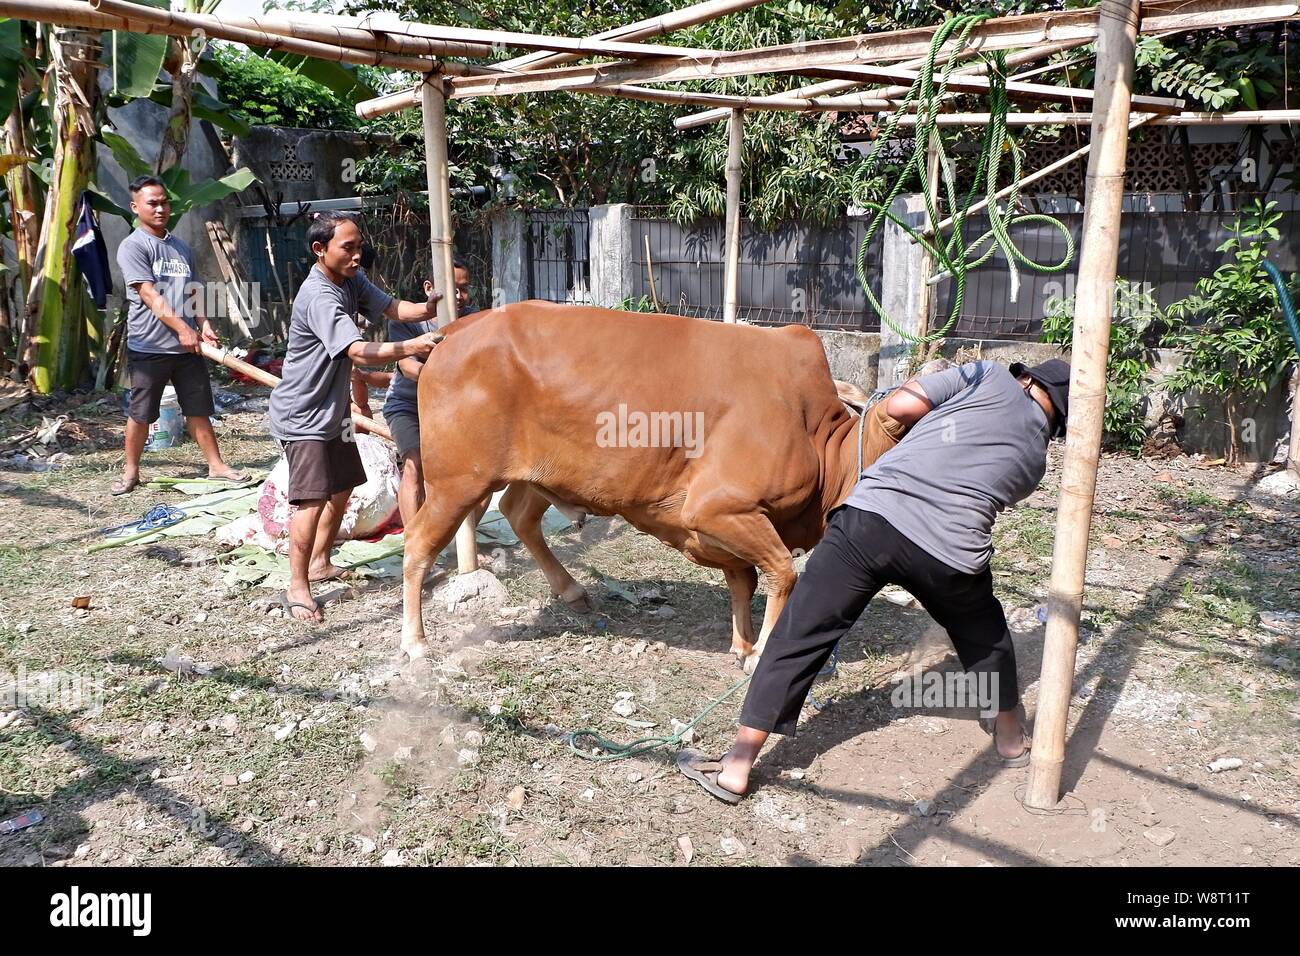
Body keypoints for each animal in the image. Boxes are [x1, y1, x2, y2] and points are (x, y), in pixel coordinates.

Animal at [403, 303, 904, 671]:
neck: (816, 434)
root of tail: (457, 328)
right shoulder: (718, 508)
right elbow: (783, 572)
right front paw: (760, 652)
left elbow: (744, 579)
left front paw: (742, 644)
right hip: (457, 482)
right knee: (418, 543)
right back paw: (415, 642)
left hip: (535, 473)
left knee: (518, 513)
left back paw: (572, 591)